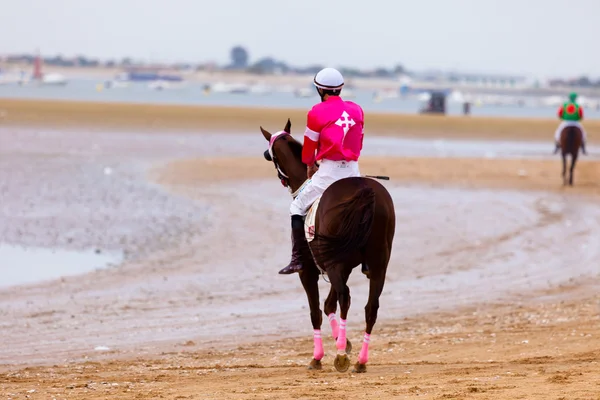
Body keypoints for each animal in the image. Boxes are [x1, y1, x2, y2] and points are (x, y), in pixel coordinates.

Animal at [260, 120, 396, 374]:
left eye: (269, 155)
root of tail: (365, 191)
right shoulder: (343, 267)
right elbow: (328, 305)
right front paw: (346, 342)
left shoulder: (310, 271)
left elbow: (316, 310)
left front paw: (319, 356)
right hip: (377, 263)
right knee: (370, 307)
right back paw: (360, 361)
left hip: (335, 264)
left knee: (346, 298)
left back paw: (341, 357)